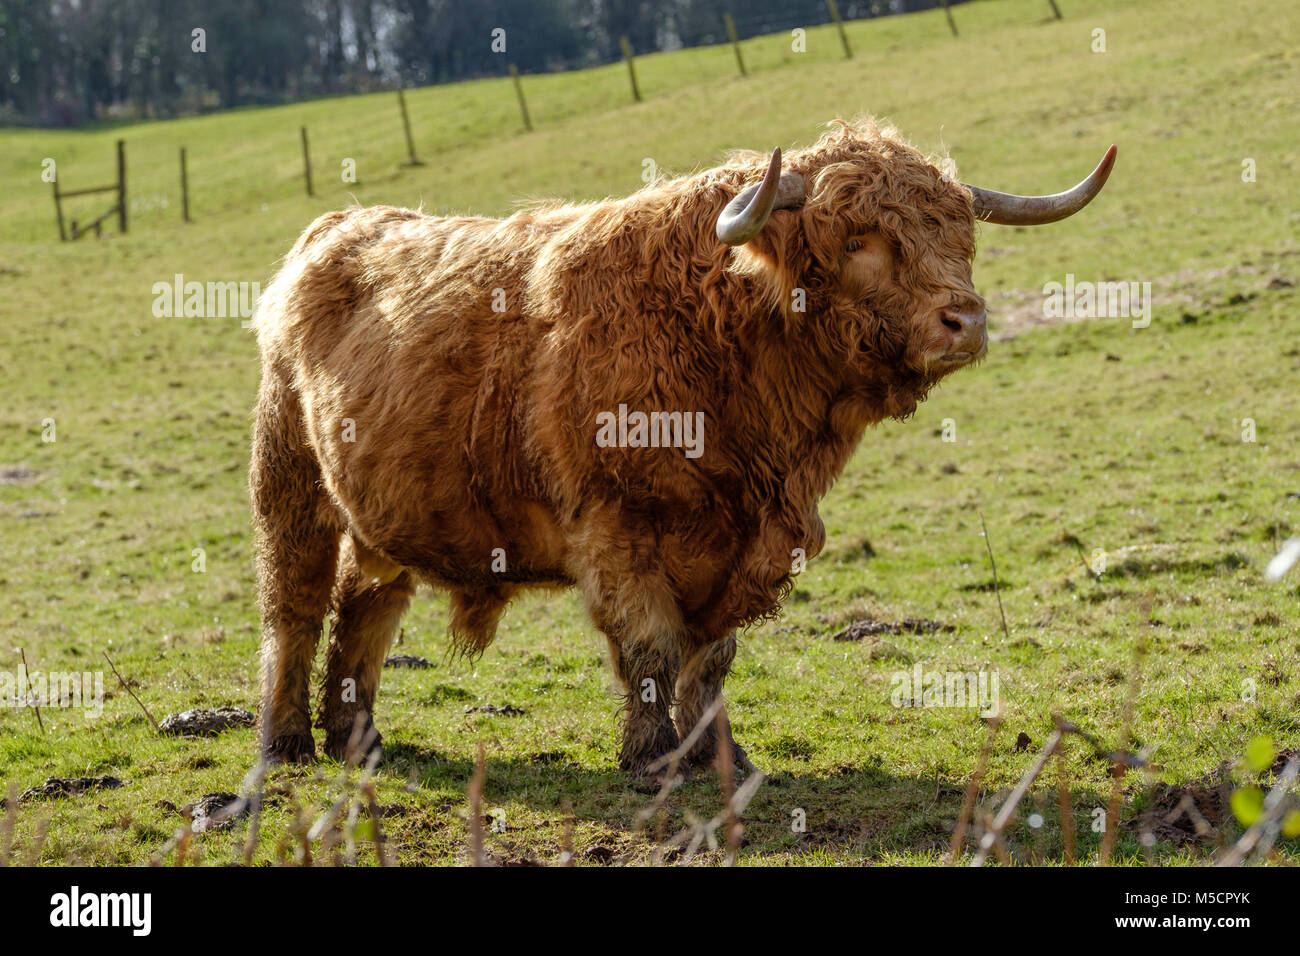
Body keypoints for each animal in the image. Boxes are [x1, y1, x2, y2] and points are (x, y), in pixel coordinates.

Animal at [248, 119, 1112, 780]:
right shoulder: (618, 531)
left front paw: (718, 757)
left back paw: (358, 739)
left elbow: (711, 660)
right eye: (859, 238)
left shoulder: (742, 547)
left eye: (958, 235)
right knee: (294, 610)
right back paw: (287, 744)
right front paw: (653, 758)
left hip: (381, 511)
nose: (965, 320)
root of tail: (341, 225)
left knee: (366, 606)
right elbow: (652, 651)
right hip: (290, 483)